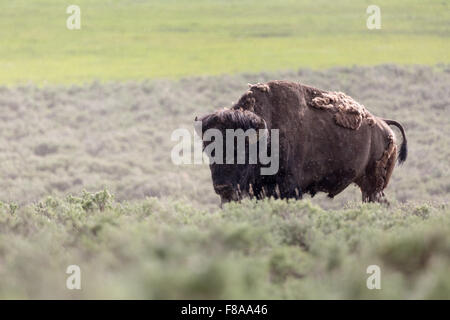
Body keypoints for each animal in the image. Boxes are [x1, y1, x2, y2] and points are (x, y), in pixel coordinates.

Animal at [195, 80, 406, 205]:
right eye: (208, 150)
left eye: (243, 150)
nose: (223, 188)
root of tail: (384, 125)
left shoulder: (290, 189)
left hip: (373, 187)